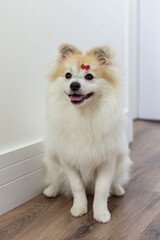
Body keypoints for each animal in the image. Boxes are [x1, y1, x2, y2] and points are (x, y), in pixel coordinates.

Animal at [43, 43, 132, 223]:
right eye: (68, 75)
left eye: (89, 76)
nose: (74, 85)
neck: (83, 115)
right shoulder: (68, 161)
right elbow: (77, 187)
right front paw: (79, 207)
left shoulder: (107, 161)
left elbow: (102, 189)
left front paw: (101, 212)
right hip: (53, 162)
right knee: (56, 178)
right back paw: (51, 190)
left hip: (121, 163)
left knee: (116, 180)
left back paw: (117, 189)